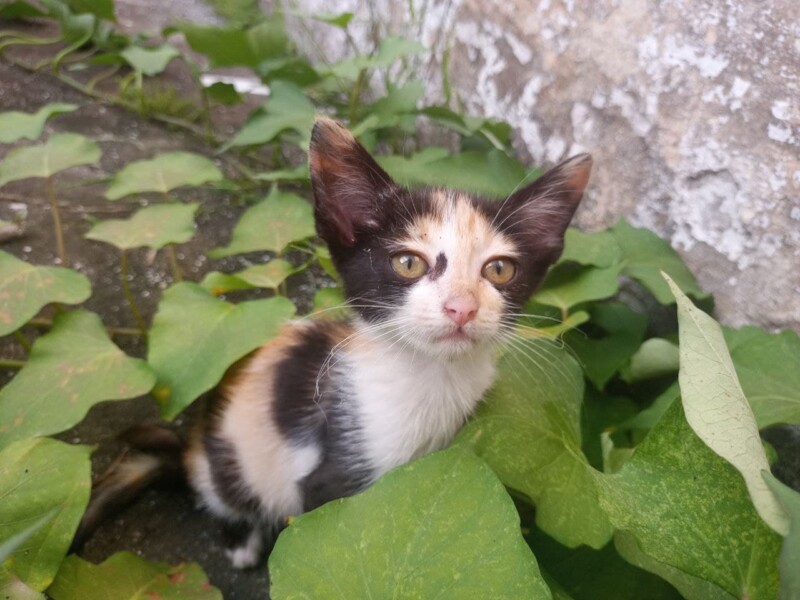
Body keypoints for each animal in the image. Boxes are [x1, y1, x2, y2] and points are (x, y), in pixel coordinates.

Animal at [183, 116, 592, 568]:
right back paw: (242, 543)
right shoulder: (332, 478)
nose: (461, 308)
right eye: (408, 263)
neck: (432, 383)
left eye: (499, 269)